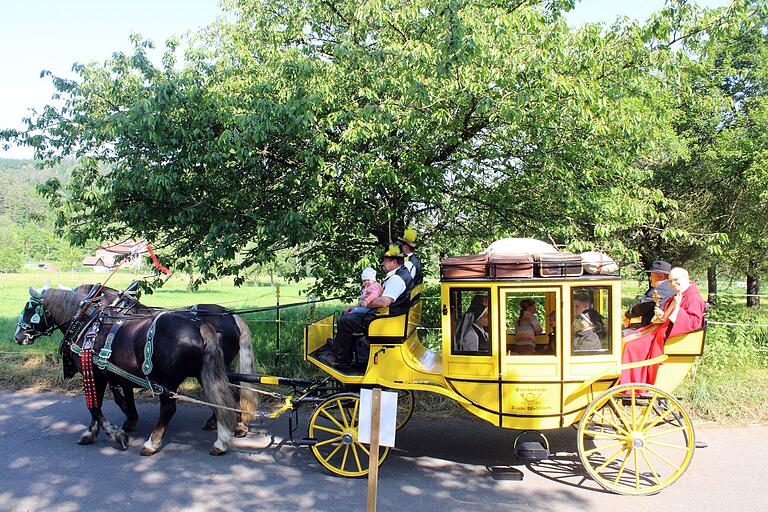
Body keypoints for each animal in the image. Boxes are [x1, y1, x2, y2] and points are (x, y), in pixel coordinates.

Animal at [14, 288, 243, 456]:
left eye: (29, 309)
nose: (18, 336)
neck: (88, 323)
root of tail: (200, 327)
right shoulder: (112, 374)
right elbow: (112, 401)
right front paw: (99, 430)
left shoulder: (95, 373)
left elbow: (95, 406)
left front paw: (116, 434)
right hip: (205, 372)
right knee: (225, 395)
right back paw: (225, 437)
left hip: (167, 382)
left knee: (170, 409)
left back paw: (152, 443)